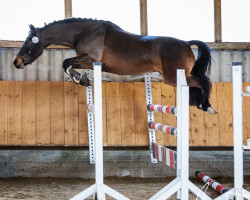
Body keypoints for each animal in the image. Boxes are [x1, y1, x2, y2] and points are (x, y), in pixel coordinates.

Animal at [13, 18, 217, 114]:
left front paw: (81, 80)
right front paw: (84, 80)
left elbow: (66, 63)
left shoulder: (90, 59)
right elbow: (68, 65)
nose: (16, 62)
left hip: (174, 77)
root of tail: (186, 43)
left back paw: (208, 107)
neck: (84, 33)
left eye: (29, 42)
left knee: (205, 82)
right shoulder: (87, 61)